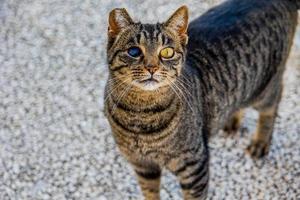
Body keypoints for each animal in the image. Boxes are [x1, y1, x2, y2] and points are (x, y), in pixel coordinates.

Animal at [104, 0, 298, 199]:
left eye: (167, 52)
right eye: (134, 51)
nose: (152, 68)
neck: (140, 115)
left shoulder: (194, 166)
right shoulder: (142, 166)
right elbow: (150, 194)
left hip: (265, 88)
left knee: (273, 104)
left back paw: (260, 142)